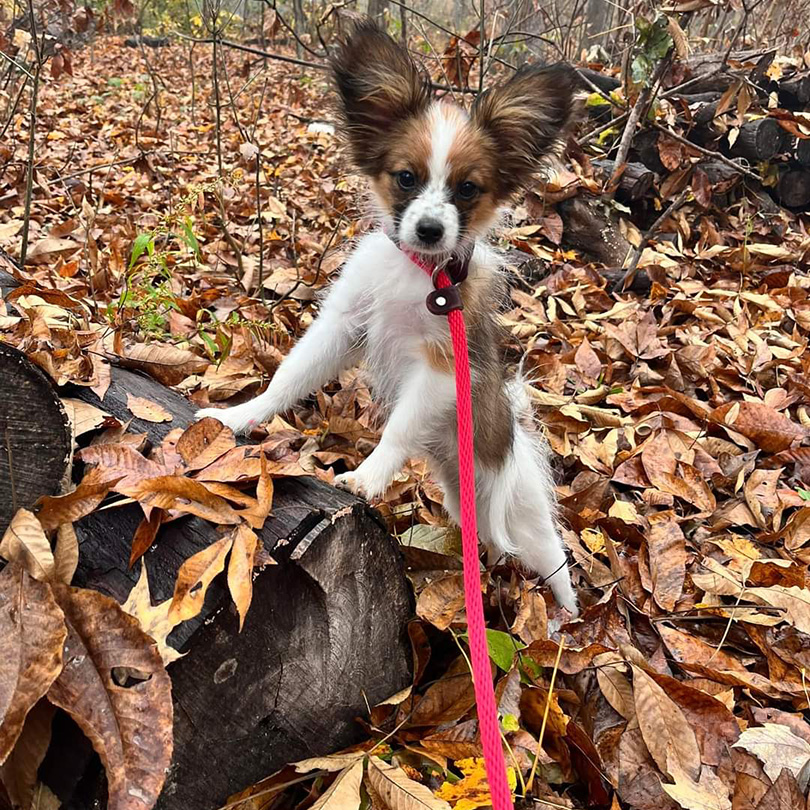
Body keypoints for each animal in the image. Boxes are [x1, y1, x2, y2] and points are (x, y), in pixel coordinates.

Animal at [198, 19, 576, 612]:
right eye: (405, 178)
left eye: (467, 188)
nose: (429, 229)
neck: (421, 274)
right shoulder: (345, 323)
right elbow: (289, 377)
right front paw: (241, 415)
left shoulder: (441, 366)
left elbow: (398, 429)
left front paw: (369, 475)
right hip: (465, 502)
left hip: (527, 517)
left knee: (556, 564)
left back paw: (565, 615)